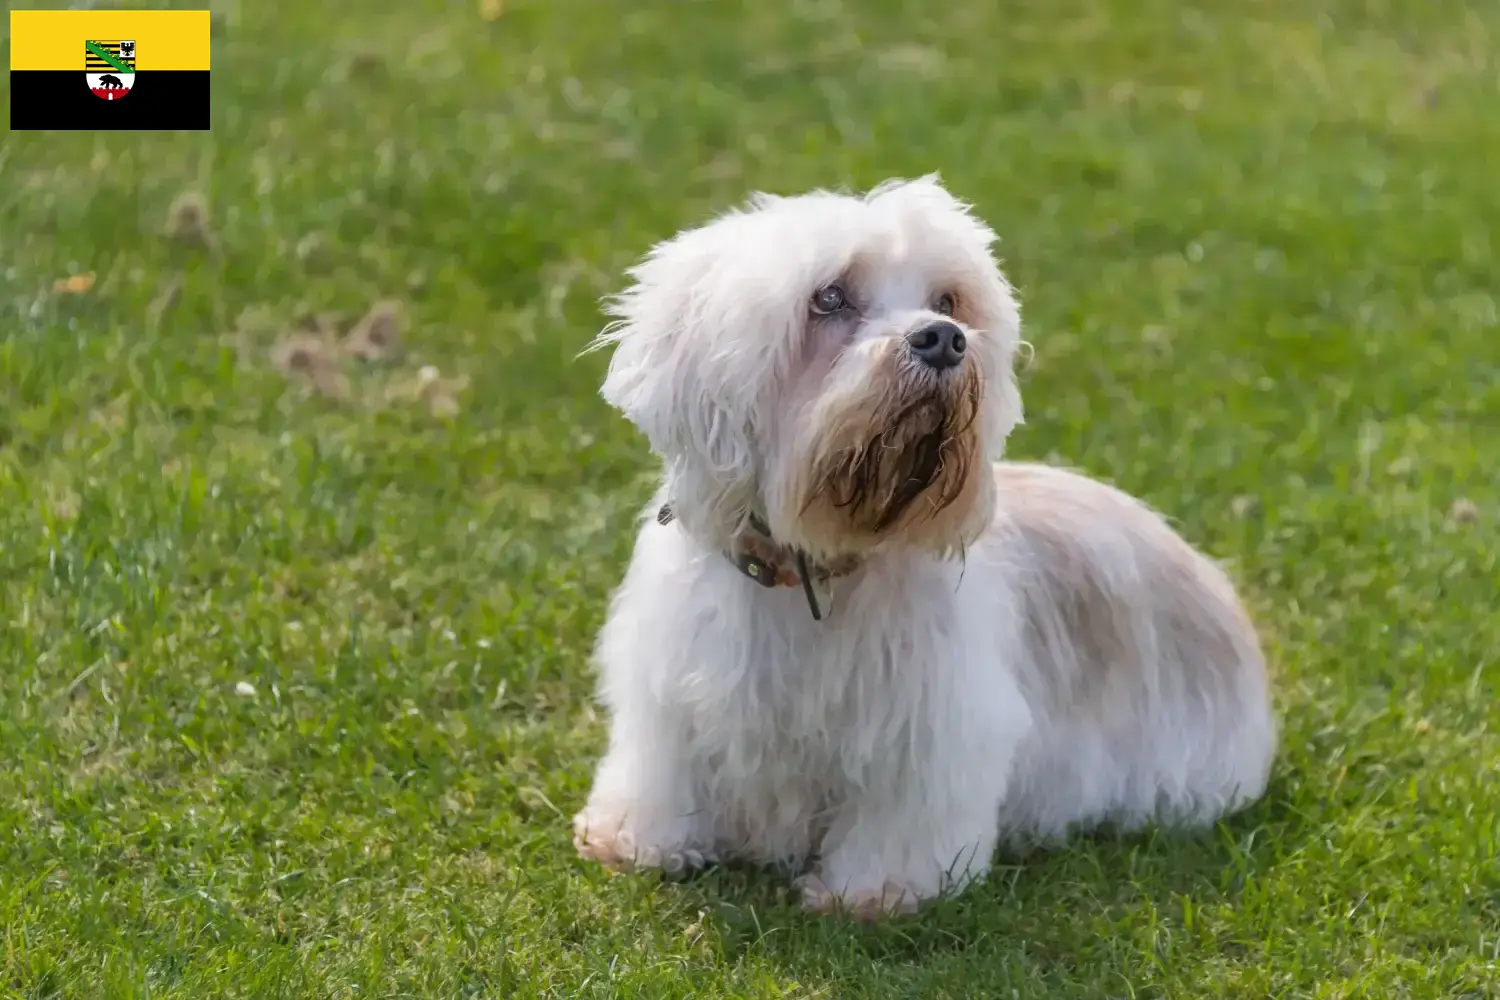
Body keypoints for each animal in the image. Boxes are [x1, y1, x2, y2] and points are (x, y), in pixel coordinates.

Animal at [573, 176, 1278, 917]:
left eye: (948, 301)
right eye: (829, 297)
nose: (943, 340)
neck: (814, 571)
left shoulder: (931, 726)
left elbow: (901, 817)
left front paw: (875, 892)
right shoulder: (668, 697)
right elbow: (661, 773)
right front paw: (638, 840)